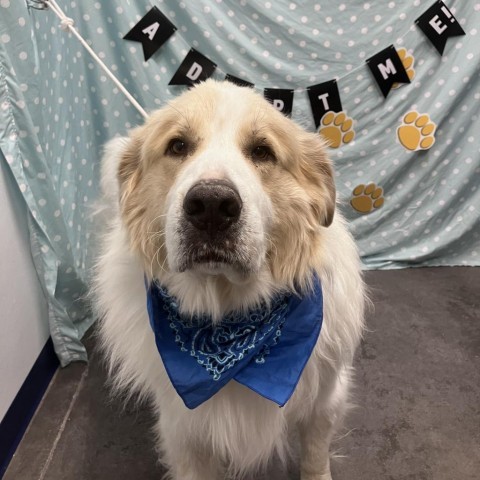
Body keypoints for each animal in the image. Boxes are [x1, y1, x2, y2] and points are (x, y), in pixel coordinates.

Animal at [93, 81, 364, 480]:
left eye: (262, 151)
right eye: (177, 146)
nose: (211, 205)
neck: (229, 326)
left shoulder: (325, 401)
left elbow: (315, 458)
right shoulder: (183, 429)